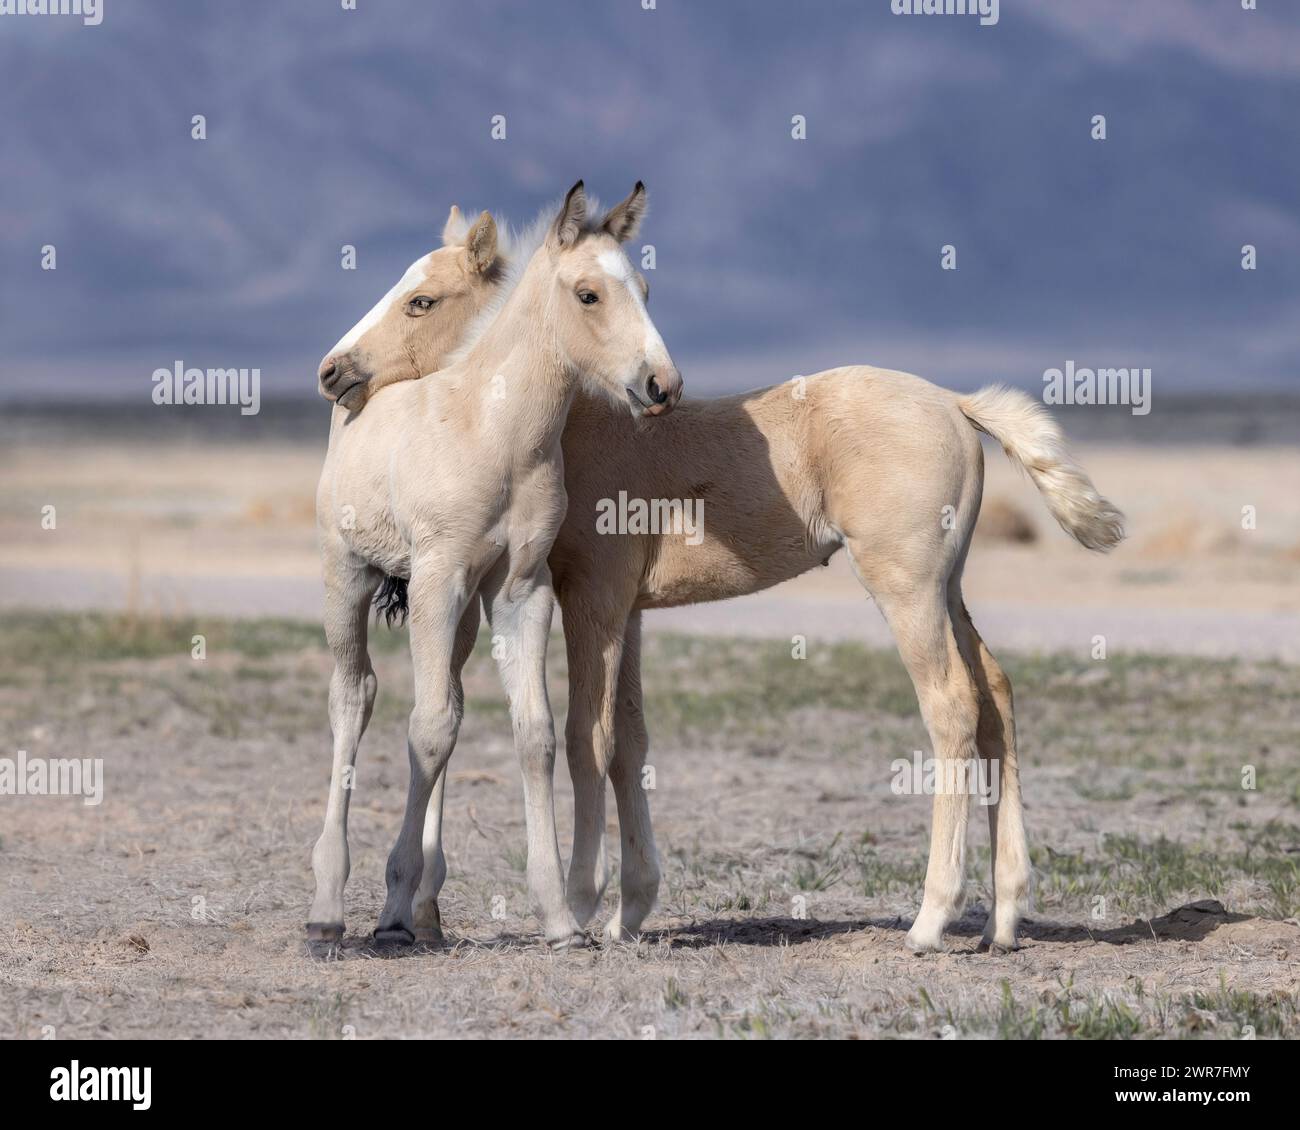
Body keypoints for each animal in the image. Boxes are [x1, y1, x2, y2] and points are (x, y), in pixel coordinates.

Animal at [309, 183, 686, 941]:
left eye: (646, 289)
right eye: (588, 294)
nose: (661, 383)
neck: (495, 432)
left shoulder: (519, 589)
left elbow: (531, 732)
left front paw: (558, 915)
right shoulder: (437, 576)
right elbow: (426, 730)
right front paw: (392, 908)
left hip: (454, 614)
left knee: (446, 702)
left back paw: (422, 906)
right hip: (346, 575)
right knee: (354, 698)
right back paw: (330, 902)